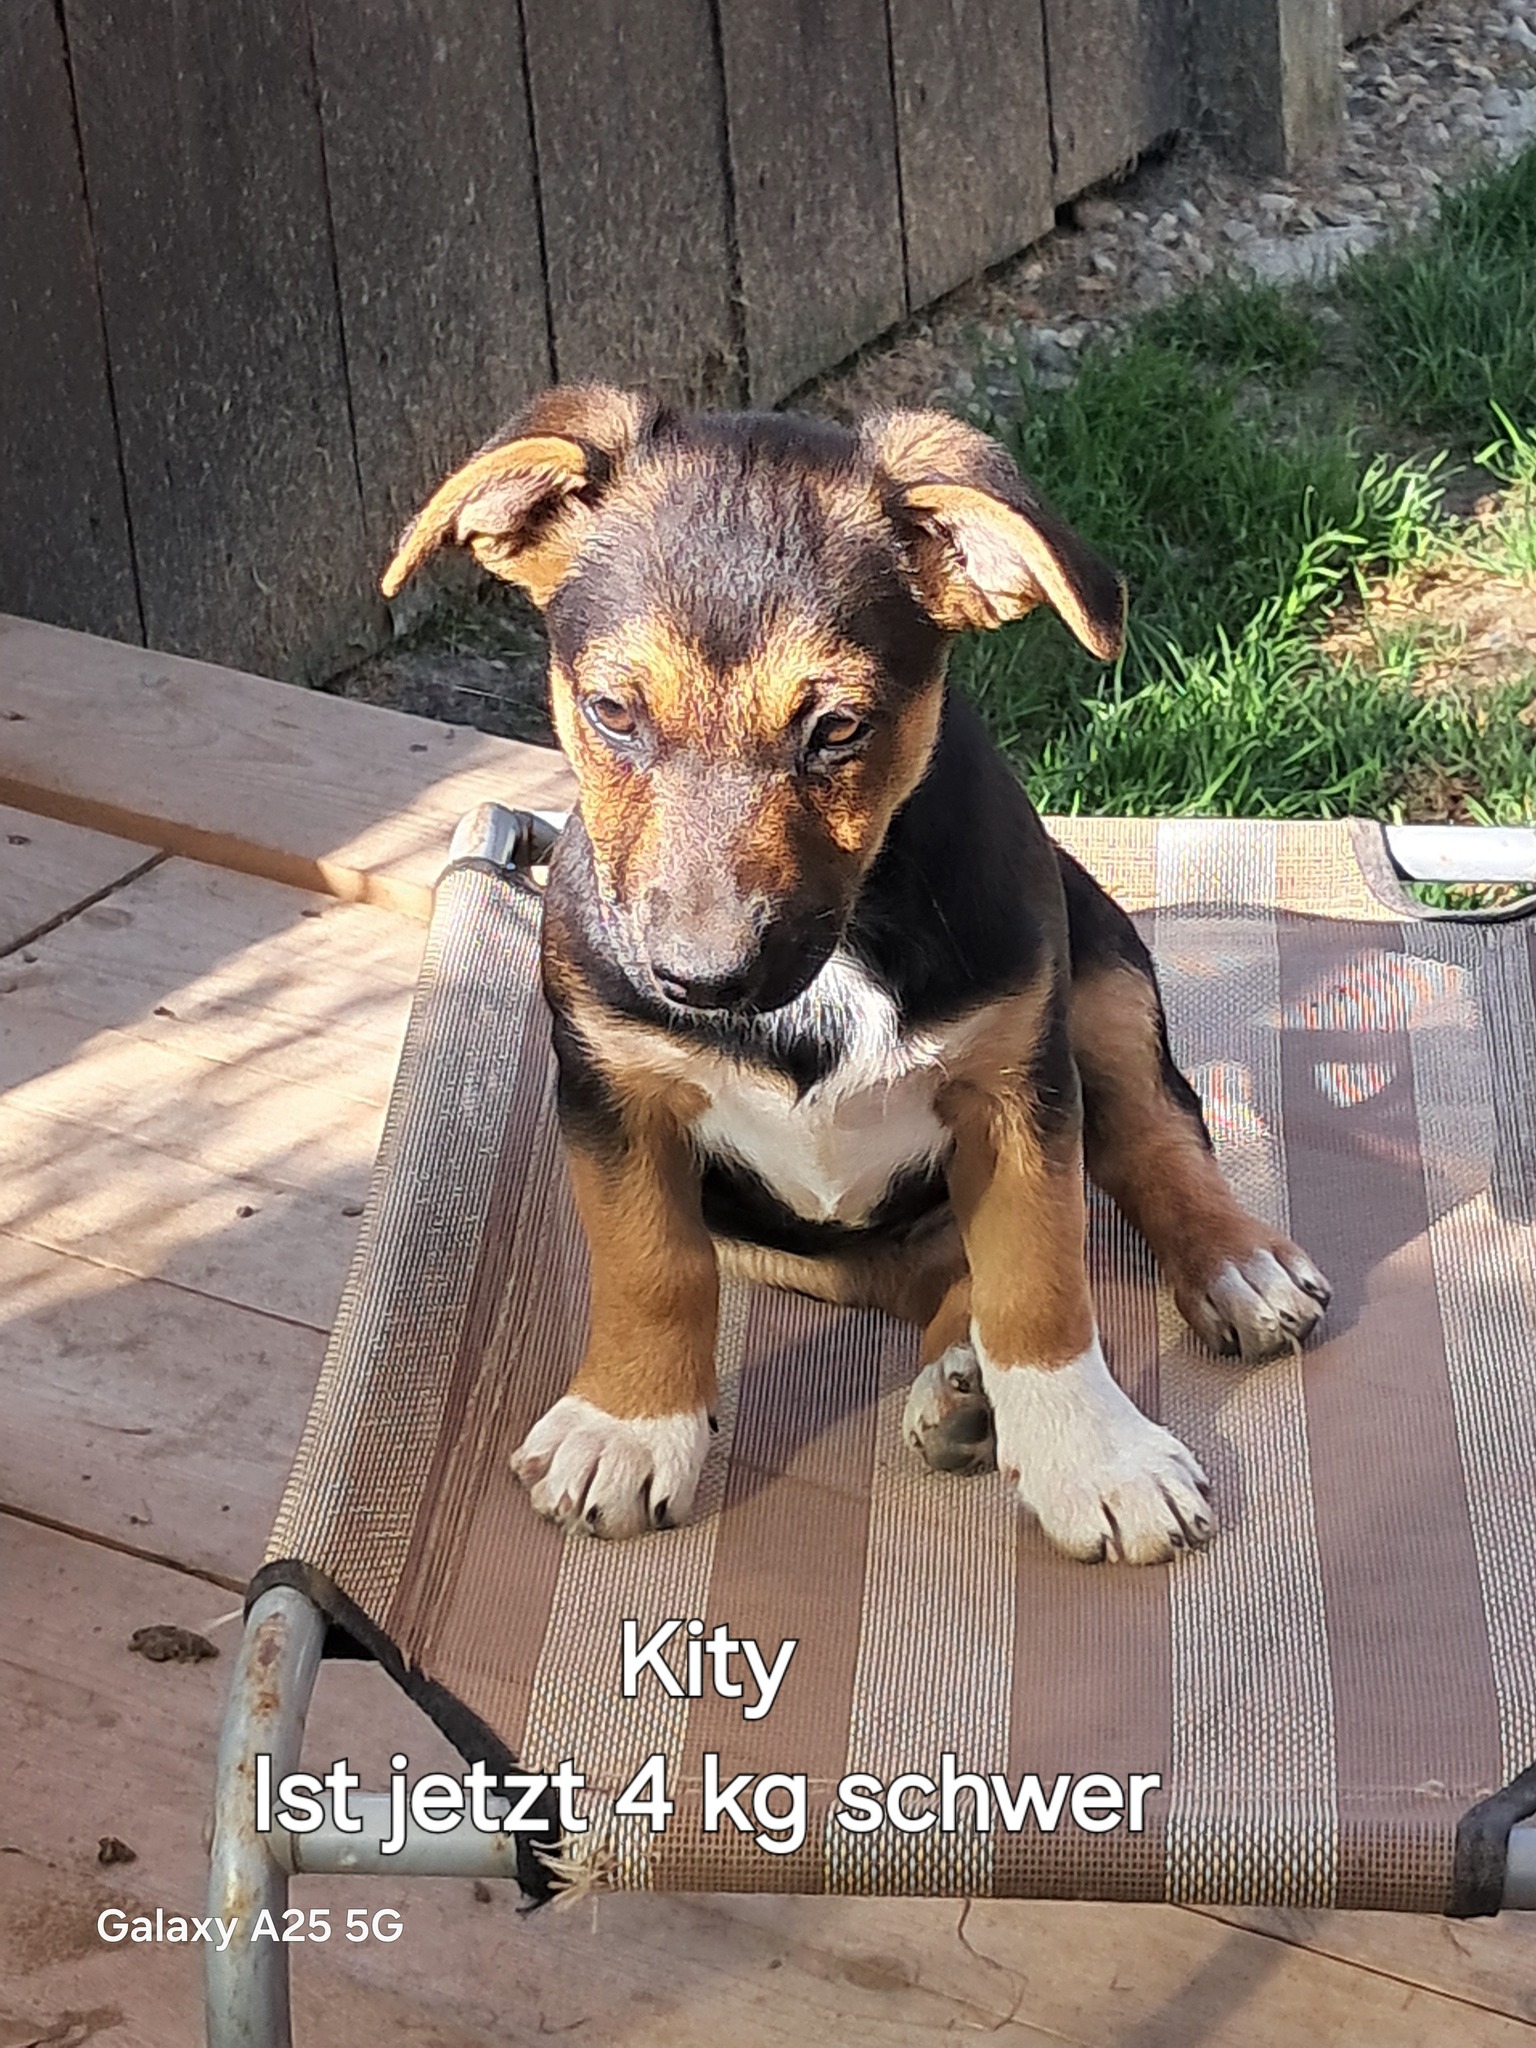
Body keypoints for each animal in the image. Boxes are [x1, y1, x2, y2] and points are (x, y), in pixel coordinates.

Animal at [382, 385, 1331, 1565]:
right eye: (612, 713)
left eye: (838, 728)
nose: (700, 981)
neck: (837, 958)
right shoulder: (614, 1088)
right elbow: (653, 1265)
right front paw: (632, 1423)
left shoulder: (1018, 1091)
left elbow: (1041, 1280)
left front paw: (1092, 1456)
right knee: (940, 1276)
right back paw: (960, 1389)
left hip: (1103, 971)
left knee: (1154, 1137)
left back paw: (1233, 1266)